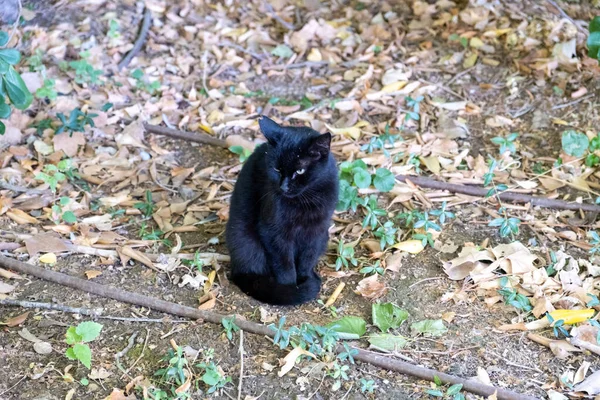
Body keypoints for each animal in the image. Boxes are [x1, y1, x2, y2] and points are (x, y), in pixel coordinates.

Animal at [225, 117, 338, 304]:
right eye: (277, 169)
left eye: (300, 170)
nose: (283, 186)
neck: (304, 201)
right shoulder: (274, 232)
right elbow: (284, 264)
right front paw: (291, 290)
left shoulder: (317, 230)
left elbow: (308, 257)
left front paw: (305, 277)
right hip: (245, 238)